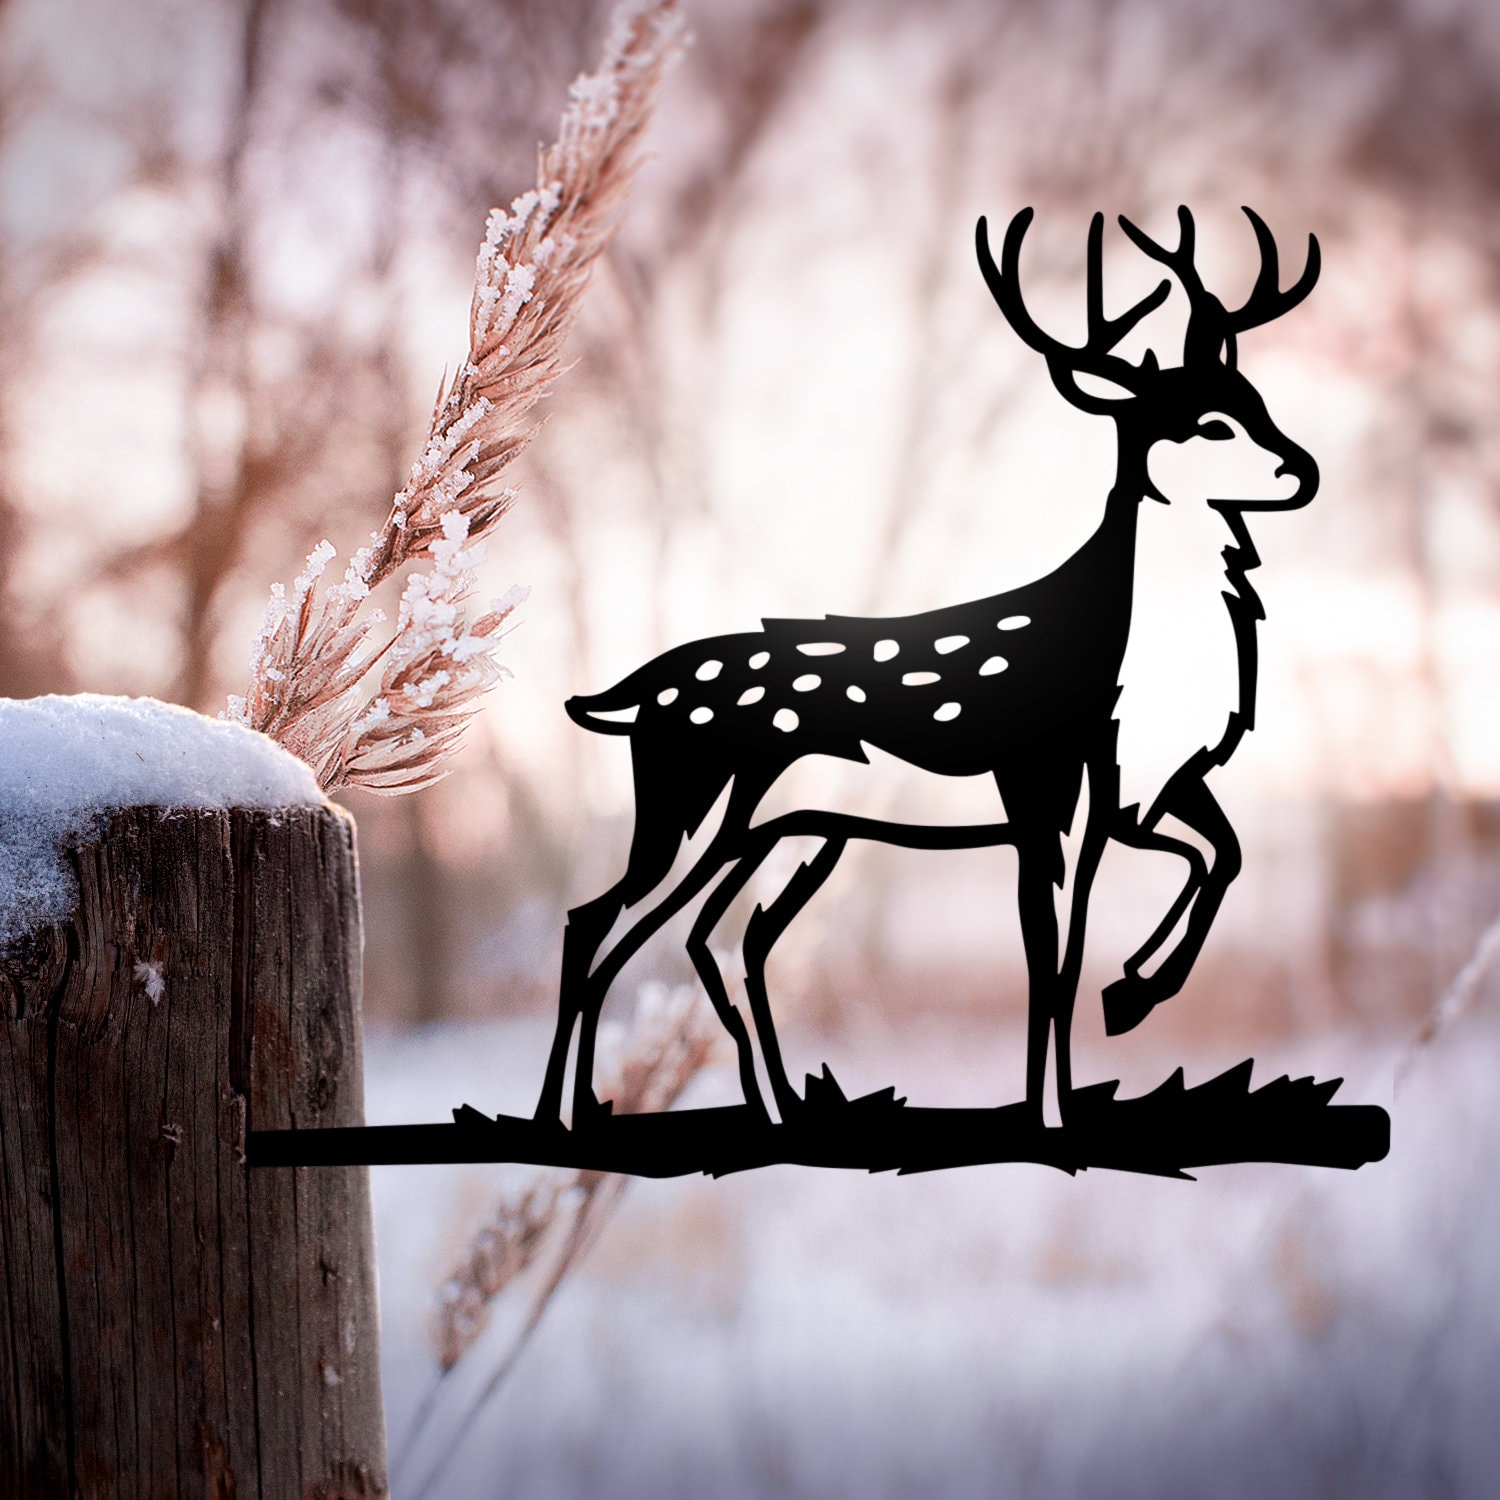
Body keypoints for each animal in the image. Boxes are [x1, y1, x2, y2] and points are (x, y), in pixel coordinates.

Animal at [535, 204, 1320, 1132]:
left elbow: (1216, 859)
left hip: (794, 832)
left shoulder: (1142, 789)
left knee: (724, 937)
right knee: (598, 922)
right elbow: (1052, 956)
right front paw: (1054, 1111)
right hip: (694, 801)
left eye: (1256, 402)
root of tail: (627, 697)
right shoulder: (1043, 784)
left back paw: (774, 1107)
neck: (1124, 672)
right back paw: (565, 1115)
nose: (1302, 470)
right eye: (1208, 425)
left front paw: (1129, 995)